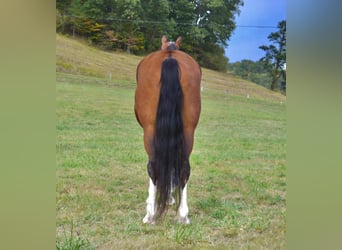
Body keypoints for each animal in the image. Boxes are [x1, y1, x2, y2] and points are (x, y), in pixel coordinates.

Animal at [135, 35, 202, 225]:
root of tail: (170, 57)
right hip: (188, 130)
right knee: (184, 168)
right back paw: (183, 215)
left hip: (150, 130)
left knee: (153, 167)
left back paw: (150, 214)